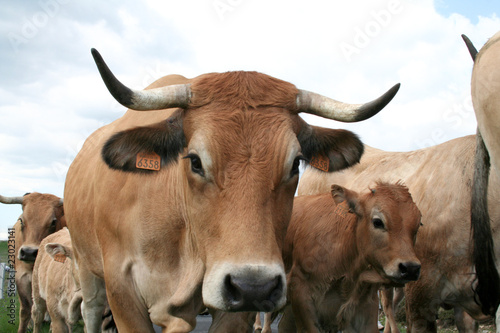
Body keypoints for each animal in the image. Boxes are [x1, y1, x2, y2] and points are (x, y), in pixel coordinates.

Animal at [63, 47, 398, 332]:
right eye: (194, 161)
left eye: (295, 163)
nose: (253, 286)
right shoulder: (121, 291)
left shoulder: (237, 310)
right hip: (86, 270)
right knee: (90, 312)